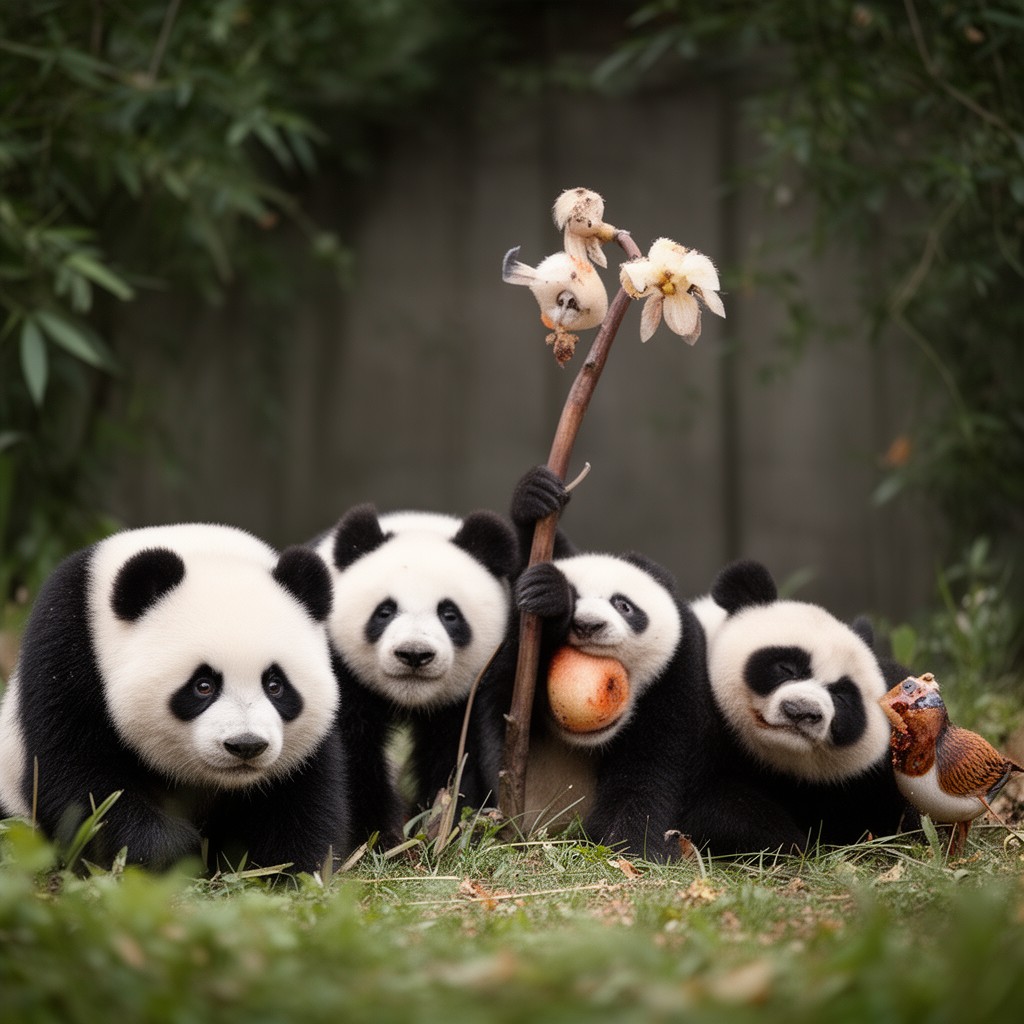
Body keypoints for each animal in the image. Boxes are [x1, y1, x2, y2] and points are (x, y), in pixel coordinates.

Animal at [0, 524, 347, 874]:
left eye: (275, 685)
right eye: (203, 685)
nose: (245, 745)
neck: (205, 550)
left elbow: (302, 798)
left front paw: (282, 870)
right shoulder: (69, 651)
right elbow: (80, 777)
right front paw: (171, 855)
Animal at [315, 504, 518, 847]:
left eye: (449, 614)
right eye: (384, 611)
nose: (414, 654)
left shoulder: (470, 694)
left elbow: (456, 754)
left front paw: (447, 824)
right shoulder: (339, 672)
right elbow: (354, 753)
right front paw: (378, 836)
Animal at [475, 467, 710, 860]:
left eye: (623, 605)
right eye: (575, 596)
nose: (587, 624)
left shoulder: (676, 673)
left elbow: (648, 766)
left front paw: (631, 847)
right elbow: (506, 698)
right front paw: (535, 500)